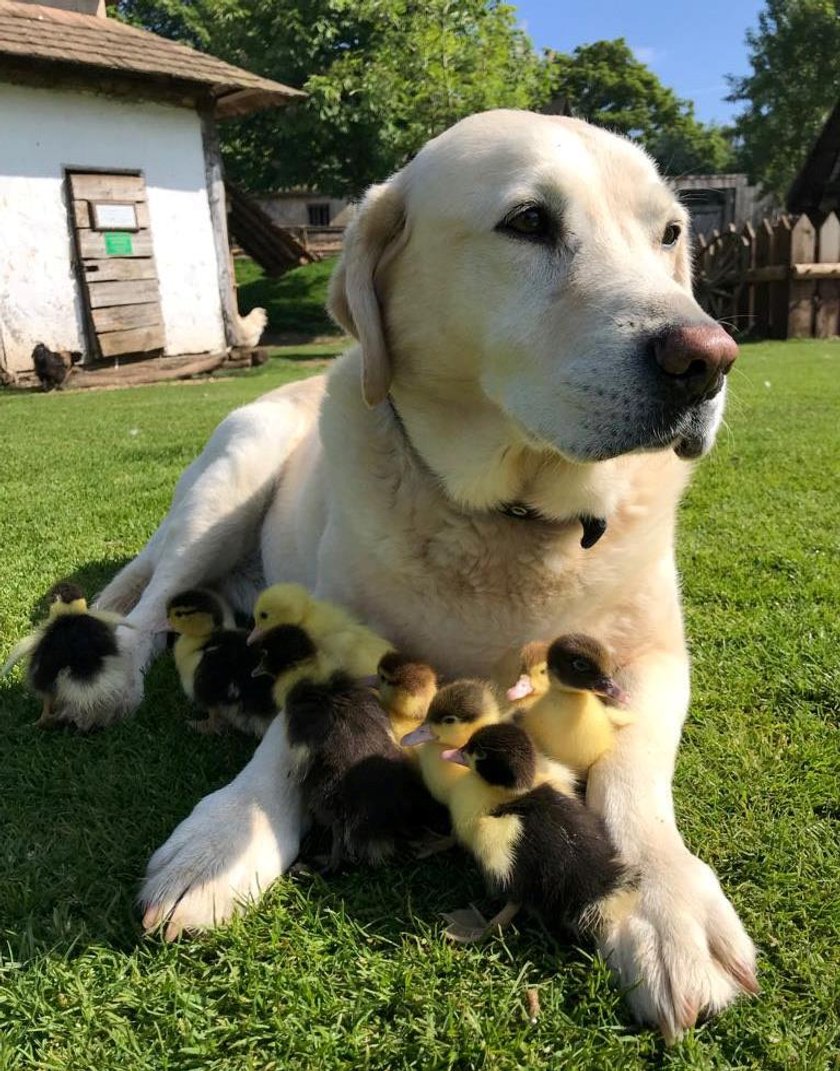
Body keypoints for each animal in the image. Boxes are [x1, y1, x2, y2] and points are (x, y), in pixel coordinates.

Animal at [92, 110, 754, 1036]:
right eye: (529, 222)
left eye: (668, 234)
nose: (709, 358)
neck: (512, 519)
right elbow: (281, 740)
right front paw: (222, 838)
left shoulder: (658, 659)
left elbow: (632, 776)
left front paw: (667, 901)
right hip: (230, 475)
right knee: (149, 605)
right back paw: (115, 672)